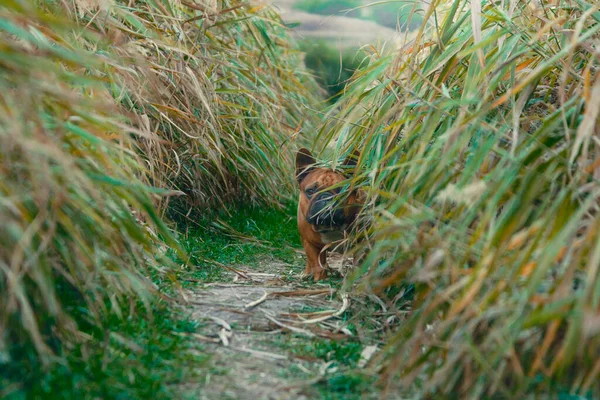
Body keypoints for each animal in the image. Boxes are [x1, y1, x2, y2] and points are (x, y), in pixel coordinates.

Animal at [296, 147, 364, 282]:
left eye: (341, 191)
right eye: (310, 191)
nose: (326, 198)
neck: (331, 226)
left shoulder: (360, 241)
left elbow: (358, 262)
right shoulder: (311, 244)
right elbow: (317, 263)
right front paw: (321, 279)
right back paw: (307, 273)